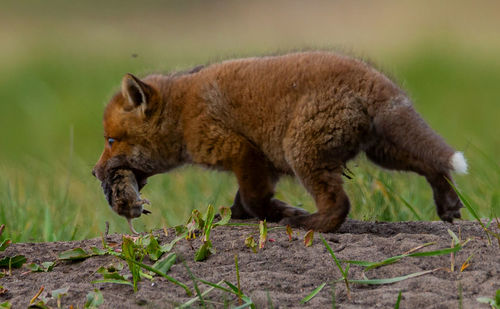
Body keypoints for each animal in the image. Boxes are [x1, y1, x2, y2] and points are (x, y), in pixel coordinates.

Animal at [92, 51, 466, 231]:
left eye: (111, 140)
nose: (95, 172)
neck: (183, 114)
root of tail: (376, 81)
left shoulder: (242, 151)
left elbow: (254, 201)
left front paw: (282, 213)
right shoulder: (264, 164)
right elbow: (243, 203)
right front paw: (252, 214)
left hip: (301, 152)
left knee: (339, 205)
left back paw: (308, 224)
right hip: (384, 151)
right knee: (433, 166)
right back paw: (448, 203)